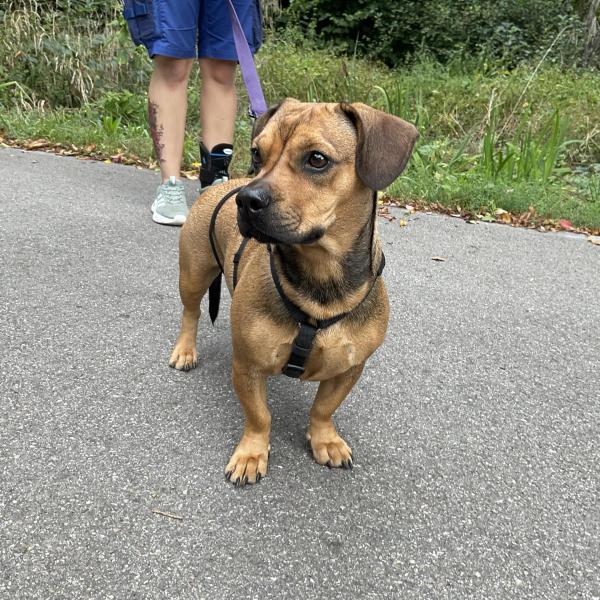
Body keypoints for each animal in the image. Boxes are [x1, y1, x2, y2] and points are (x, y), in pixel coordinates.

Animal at [169, 99, 418, 485]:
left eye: (317, 159)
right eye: (257, 153)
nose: (247, 200)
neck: (321, 279)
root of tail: (224, 185)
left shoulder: (350, 368)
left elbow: (323, 408)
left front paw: (324, 439)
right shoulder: (248, 367)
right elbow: (260, 416)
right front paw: (252, 453)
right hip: (194, 273)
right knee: (191, 312)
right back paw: (184, 349)